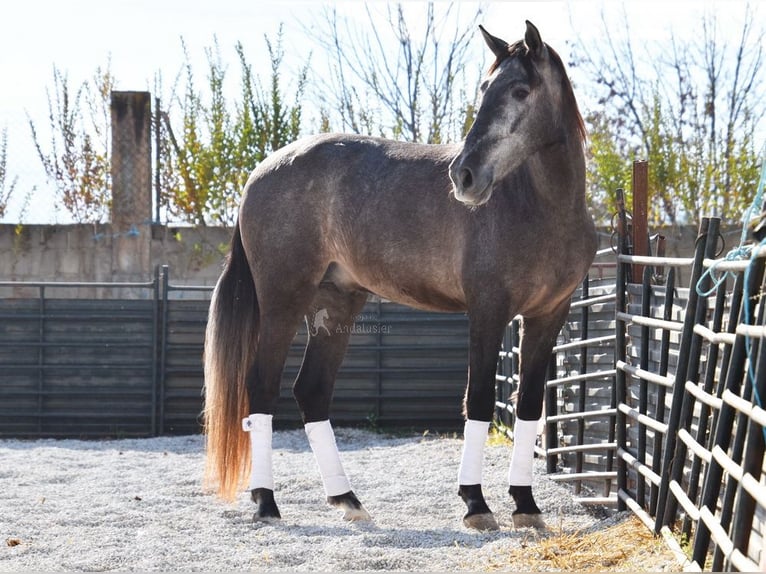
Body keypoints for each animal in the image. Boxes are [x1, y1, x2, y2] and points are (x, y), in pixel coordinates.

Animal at [203, 20, 596, 531]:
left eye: (520, 90)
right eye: (485, 88)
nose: (464, 176)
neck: (542, 208)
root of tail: (260, 173)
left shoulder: (549, 315)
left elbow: (529, 405)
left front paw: (526, 504)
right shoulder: (488, 312)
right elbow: (479, 399)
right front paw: (476, 503)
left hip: (336, 304)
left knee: (311, 390)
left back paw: (348, 500)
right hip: (283, 300)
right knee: (263, 387)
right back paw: (267, 502)